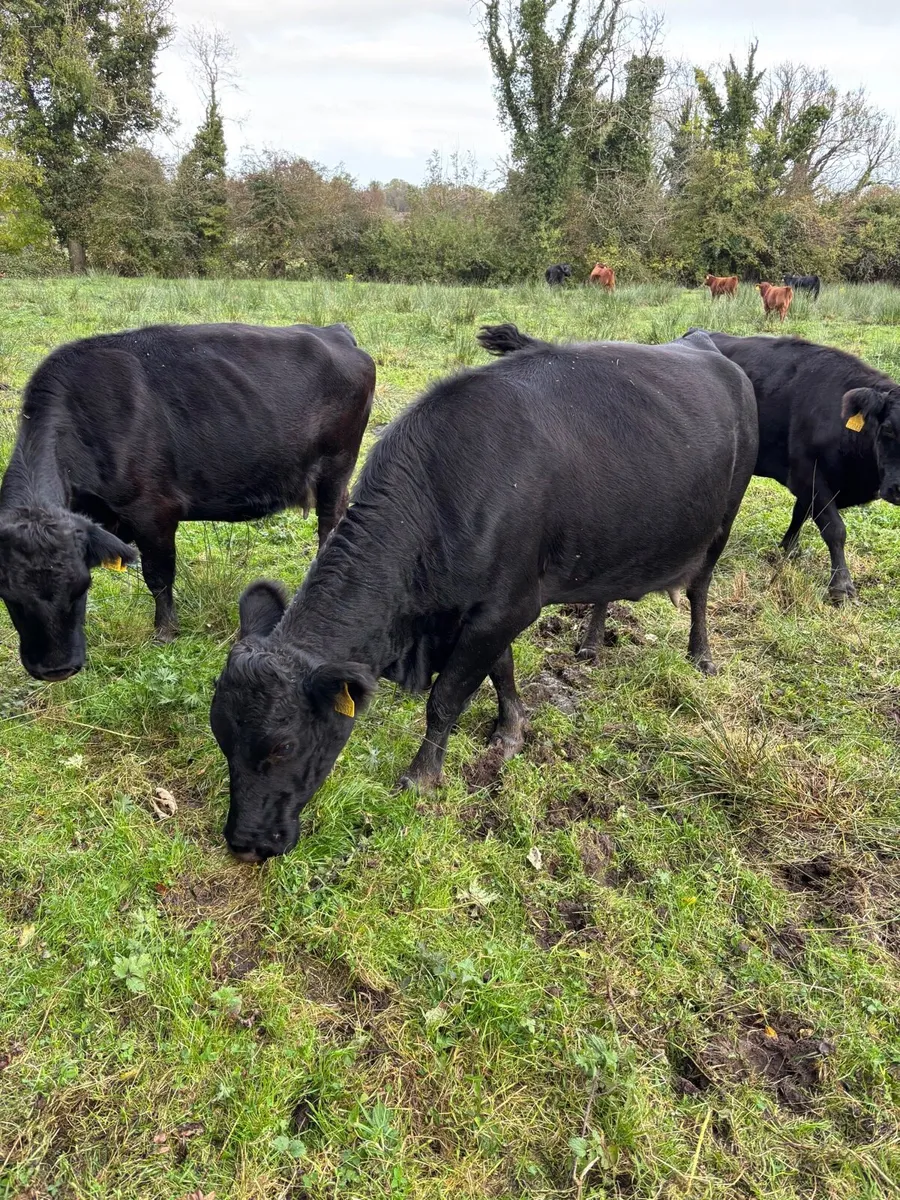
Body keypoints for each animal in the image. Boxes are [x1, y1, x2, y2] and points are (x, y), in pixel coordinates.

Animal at [0, 322, 376, 681]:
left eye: (82, 586)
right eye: (8, 596)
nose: (57, 670)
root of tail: (334, 332)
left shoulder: (153, 512)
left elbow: (158, 575)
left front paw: (165, 632)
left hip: (337, 467)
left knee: (329, 525)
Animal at [209, 324, 758, 862]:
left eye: (281, 746)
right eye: (221, 737)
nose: (244, 844)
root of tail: (703, 342)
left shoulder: (506, 608)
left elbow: (446, 698)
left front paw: (422, 775)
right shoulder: (486, 612)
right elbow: (502, 670)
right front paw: (511, 730)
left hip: (722, 521)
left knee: (700, 590)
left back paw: (700, 654)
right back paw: (590, 642)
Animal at [686, 330, 900, 602]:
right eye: (888, 429)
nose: (899, 489)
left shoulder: (809, 482)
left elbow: (800, 512)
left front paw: (789, 548)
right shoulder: (808, 474)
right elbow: (835, 529)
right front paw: (841, 586)